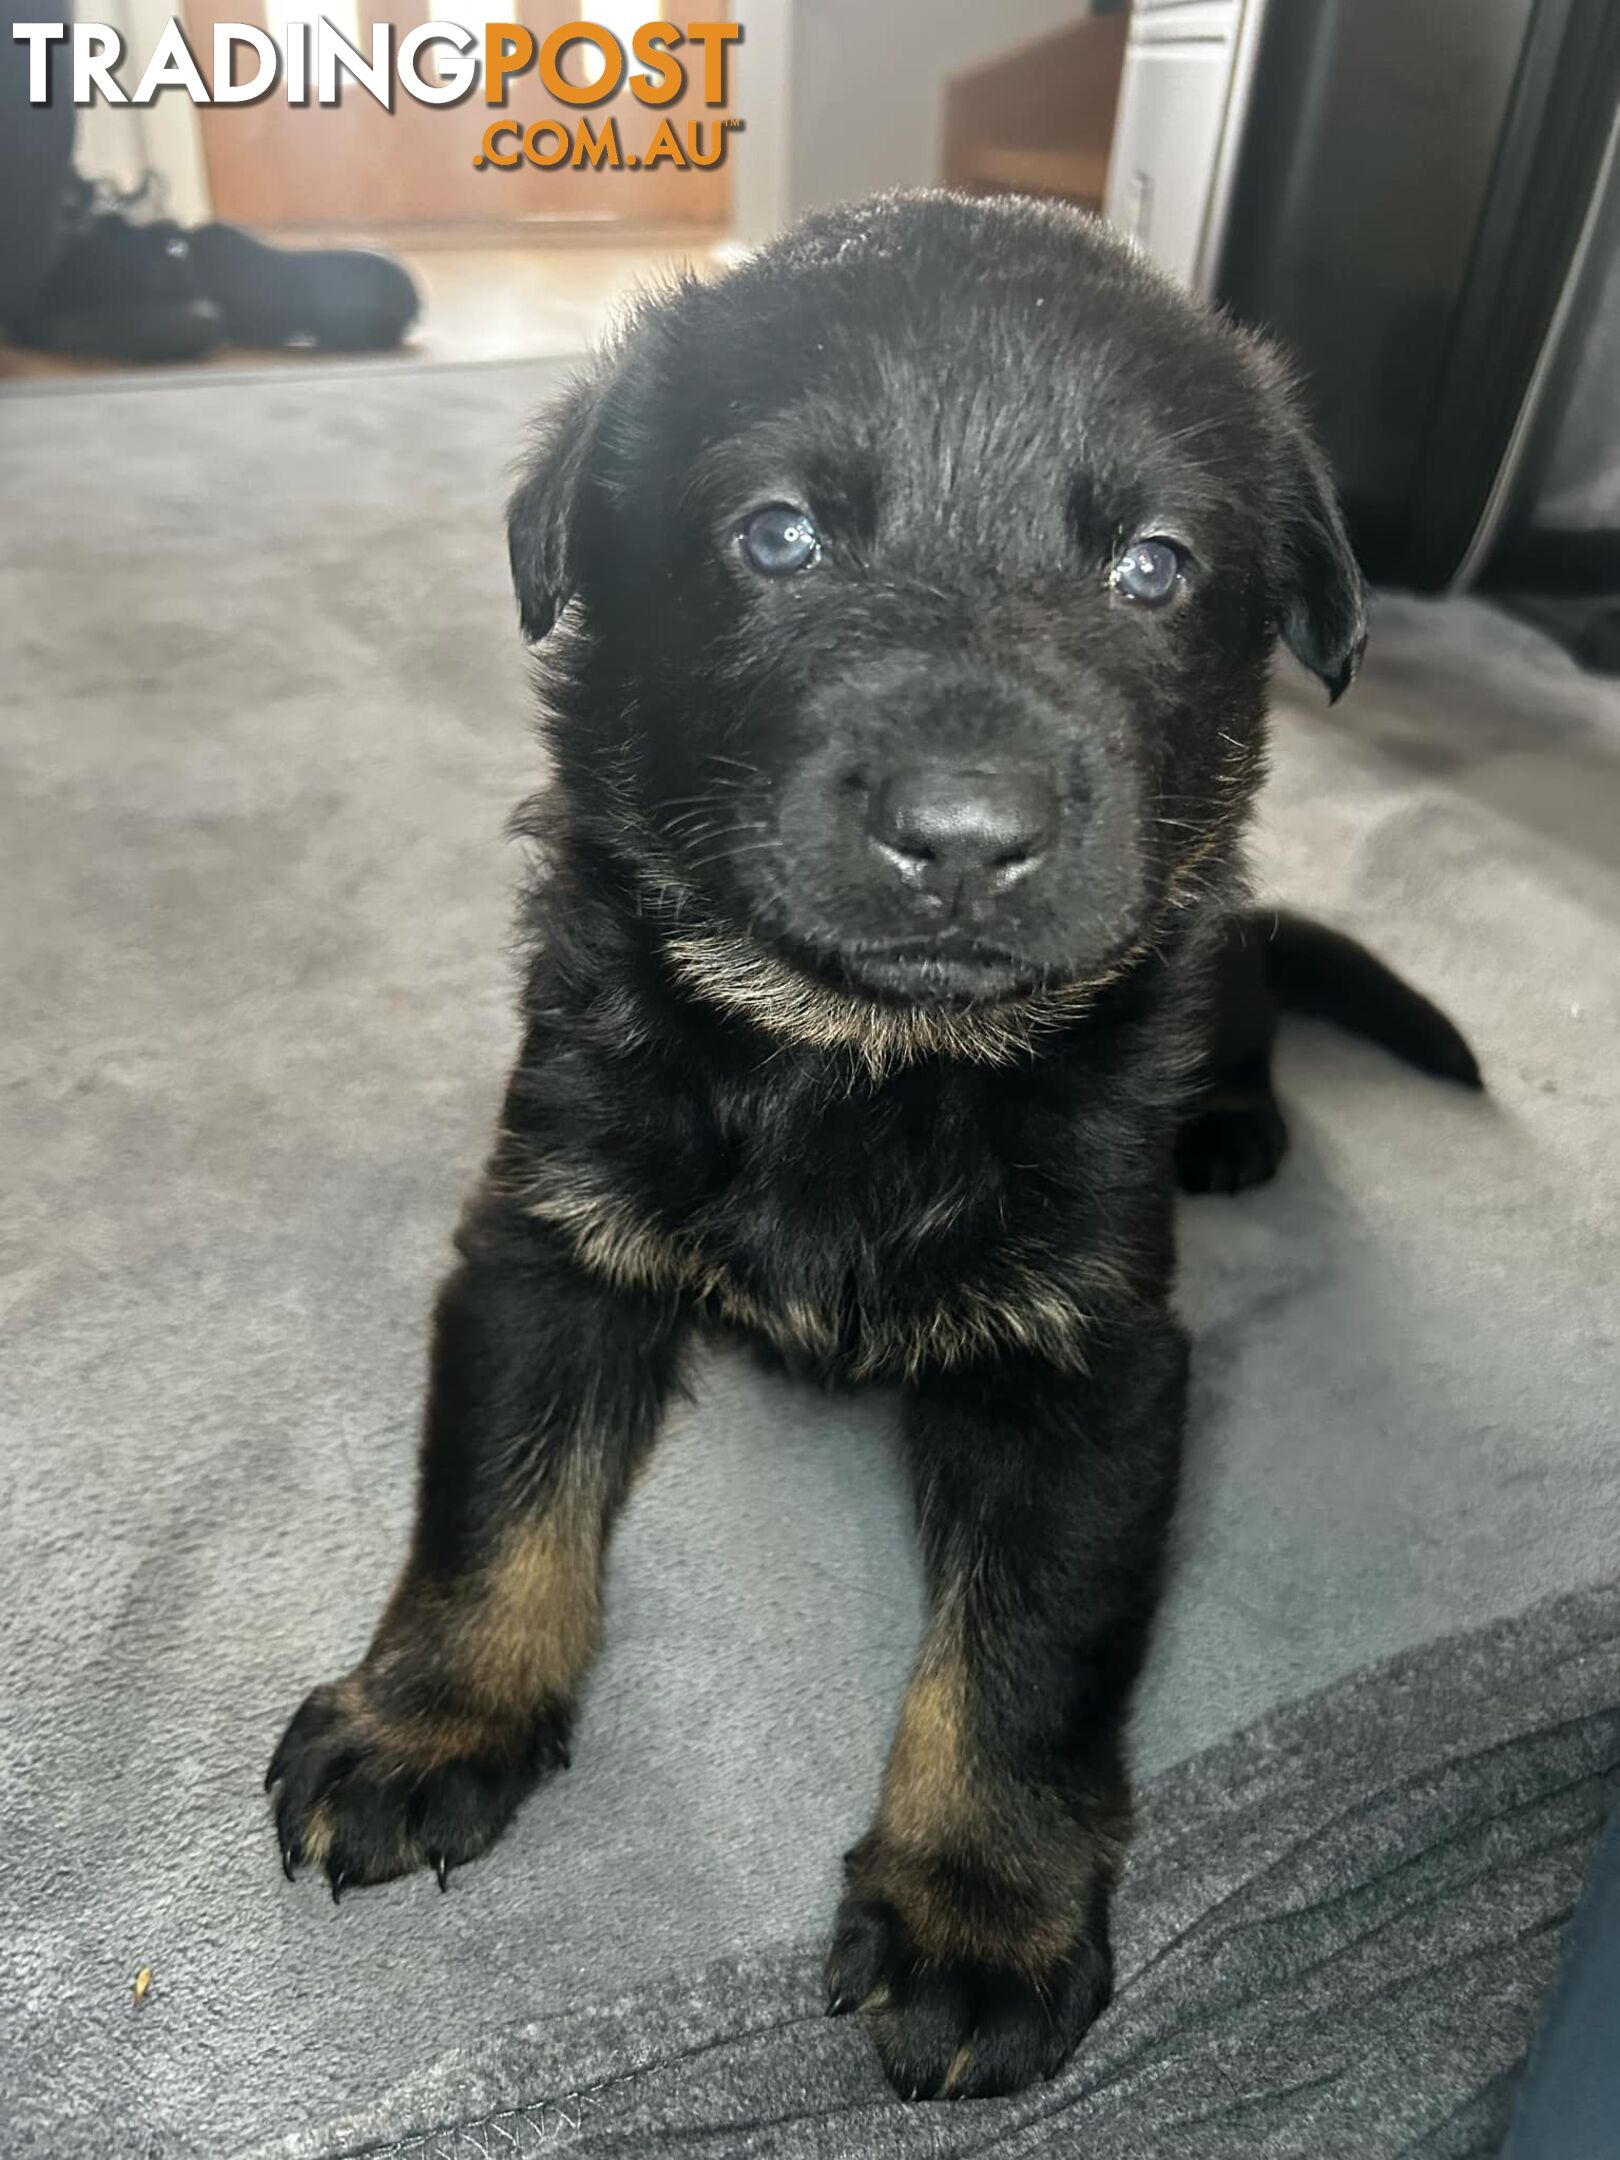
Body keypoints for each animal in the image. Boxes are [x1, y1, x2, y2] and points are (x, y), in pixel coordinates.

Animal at [270, 194, 1486, 2099]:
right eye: (775, 538)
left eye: (1154, 568)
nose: (967, 834)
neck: (864, 1055)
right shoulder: (547, 1241)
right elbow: (492, 1504)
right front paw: (432, 1715)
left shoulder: (1093, 1371)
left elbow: (1024, 1651)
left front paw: (979, 1909)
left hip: (1220, 948)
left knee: (1258, 998)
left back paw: (1234, 1122)